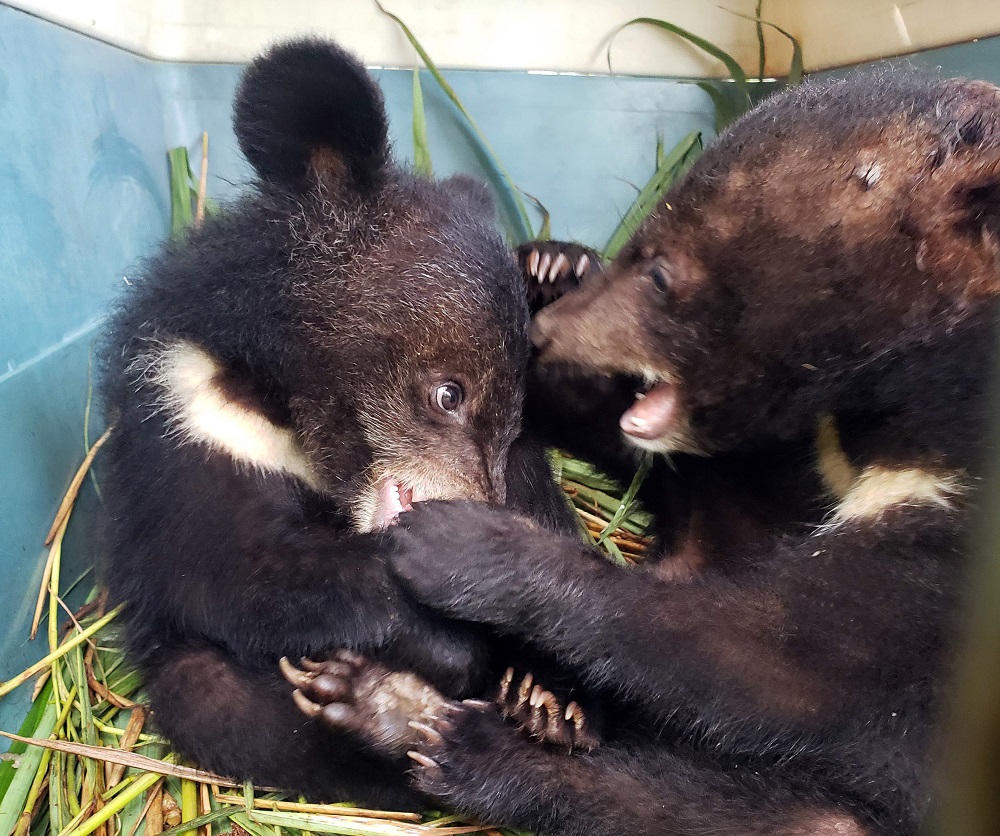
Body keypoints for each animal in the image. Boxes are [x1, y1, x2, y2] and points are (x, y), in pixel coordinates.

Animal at [98, 37, 581, 807]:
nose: (478, 517)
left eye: (513, 421)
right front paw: (451, 636)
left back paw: (536, 706)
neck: (282, 405)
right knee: (227, 707)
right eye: (447, 394)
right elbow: (246, 574)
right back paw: (390, 712)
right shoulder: (186, 422)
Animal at [292, 70, 1000, 835]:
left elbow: (775, 657)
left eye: (660, 272)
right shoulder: (793, 460)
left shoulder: (947, 564)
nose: (544, 333)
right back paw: (404, 707)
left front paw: (459, 541)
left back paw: (463, 728)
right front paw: (549, 266)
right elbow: (694, 480)